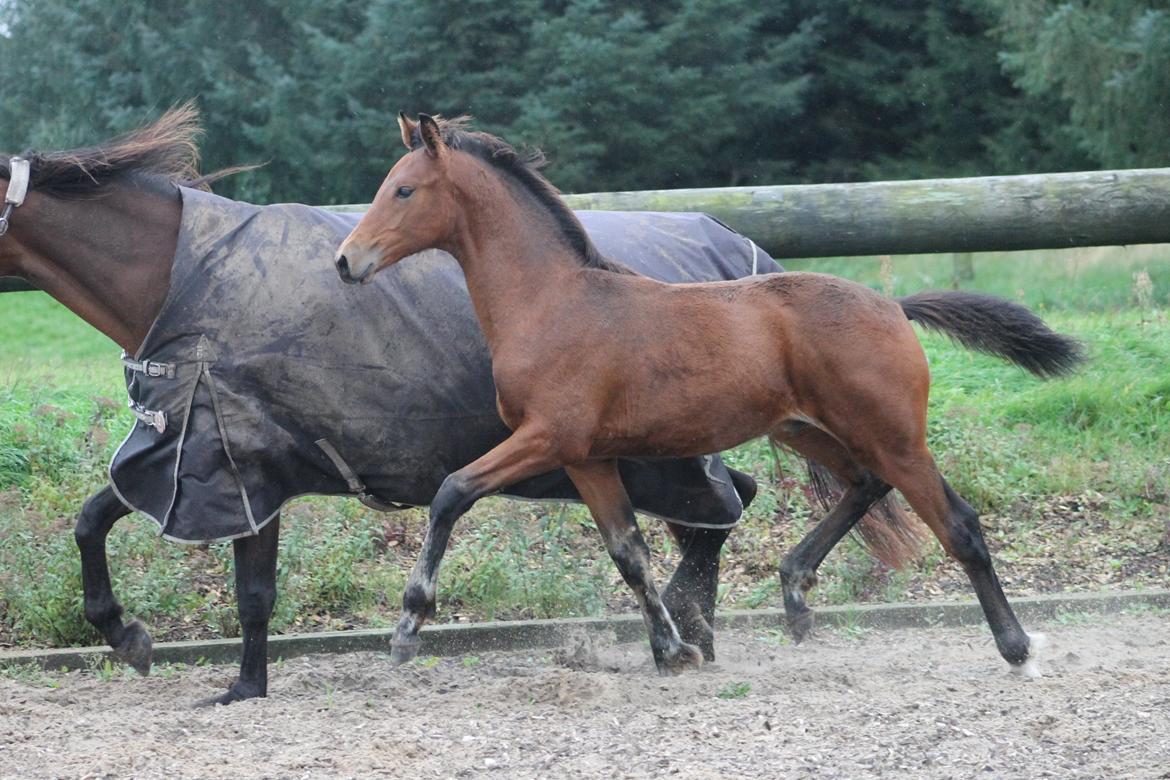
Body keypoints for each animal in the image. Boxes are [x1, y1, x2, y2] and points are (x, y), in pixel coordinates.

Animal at [0, 100, 842, 706]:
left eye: (404, 188)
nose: (349, 262)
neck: (188, 275)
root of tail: (739, 246)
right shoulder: (197, 458)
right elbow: (99, 526)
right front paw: (152, 647)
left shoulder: (229, 461)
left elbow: (250, 588)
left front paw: (213, 671)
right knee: (726, 505)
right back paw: (691, 629)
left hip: (662, 450)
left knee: (726, 505)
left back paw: (695, 626)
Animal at [334, 114, 1081, 678]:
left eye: (404, 190)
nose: (346, 260)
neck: (552, 303)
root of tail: (893, 307)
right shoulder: (588, 458)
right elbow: (629, 552)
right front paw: (674, 649)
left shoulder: (548, 437)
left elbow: (452, 492)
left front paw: (407, 627)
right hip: (807, 428)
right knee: (864, 485)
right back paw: (795, 592)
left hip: (893, 434)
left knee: (959, 525)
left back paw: (1017, 647)